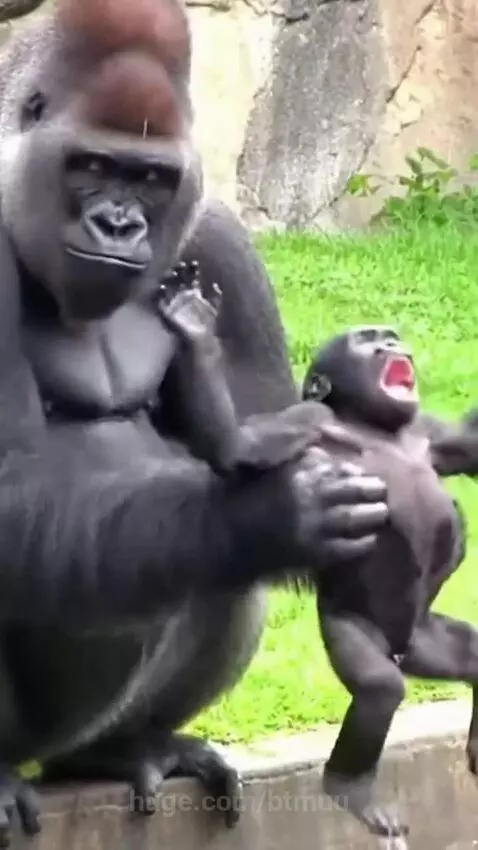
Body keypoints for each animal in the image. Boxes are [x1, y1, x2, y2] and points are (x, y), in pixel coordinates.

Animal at [0, 0, 395, 843]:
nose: (120, 226)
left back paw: (119, 750)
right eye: (90, 165)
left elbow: (250, 434)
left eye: (151, 178)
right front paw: (271, 511)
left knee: (207, 567)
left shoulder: (219, 236)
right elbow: (15, 489)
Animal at [297, 325, 478, 844]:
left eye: (390, 335)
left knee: (472, 654)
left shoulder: (437, 435)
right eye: (365, 340)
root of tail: (403, 649)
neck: (375, 426)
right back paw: (350, 789)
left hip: (426, 640)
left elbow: (472, 443)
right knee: (379, 687)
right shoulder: (307, 423)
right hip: (349, 626)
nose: (391, 346)